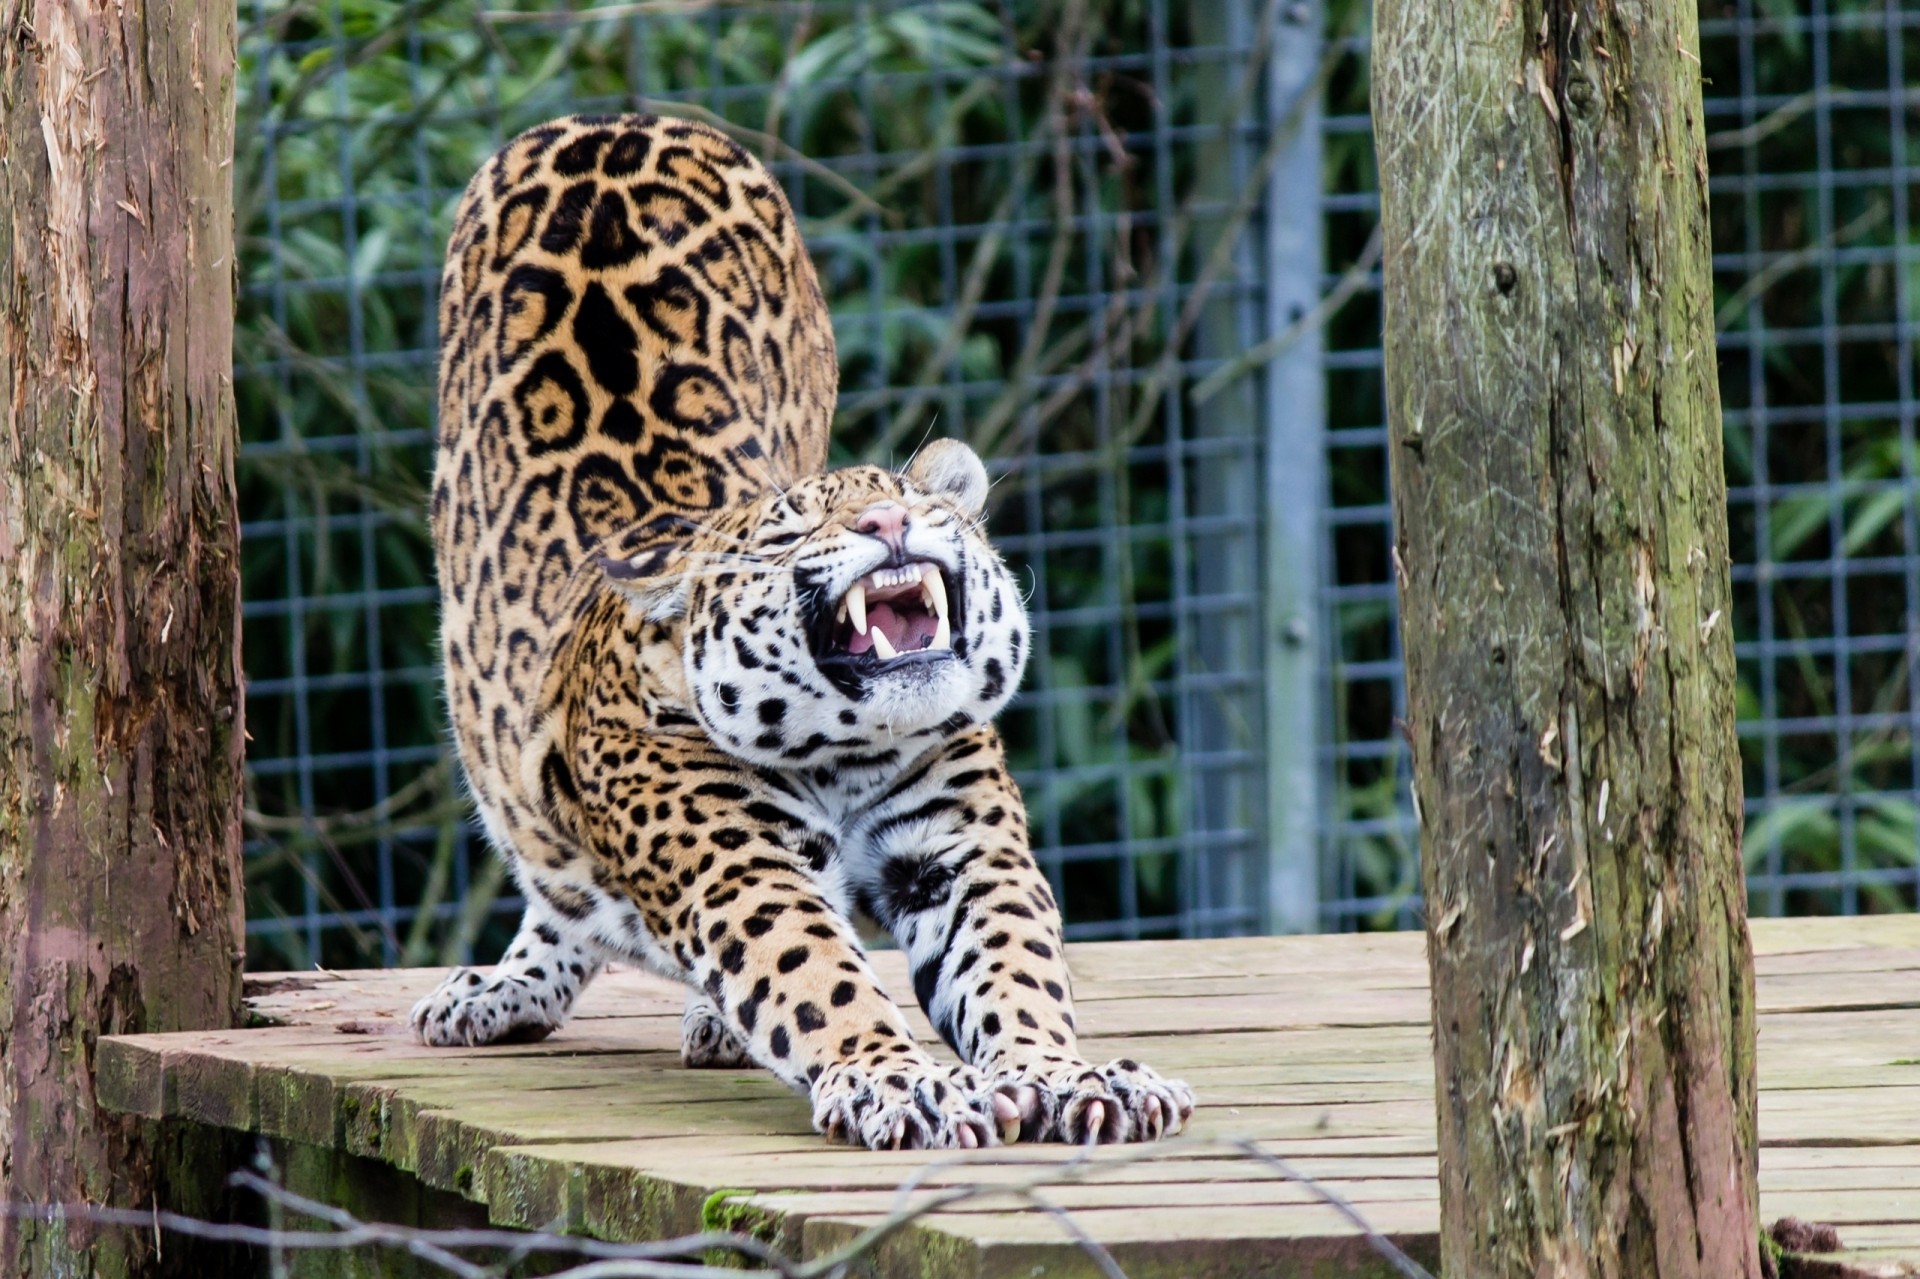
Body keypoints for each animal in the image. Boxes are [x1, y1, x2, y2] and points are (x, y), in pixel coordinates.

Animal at [411, 113, 1193, 1150]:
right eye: (789, 533)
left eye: (913, 501)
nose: (888, 522)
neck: (848, 748)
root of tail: (606, 117)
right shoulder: (738, 869)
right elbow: (819, 975)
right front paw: (903, 1081)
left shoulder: (959, 851)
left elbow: (1015, 967)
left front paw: (1064, 1072)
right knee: (556, 873)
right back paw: (505, 989)